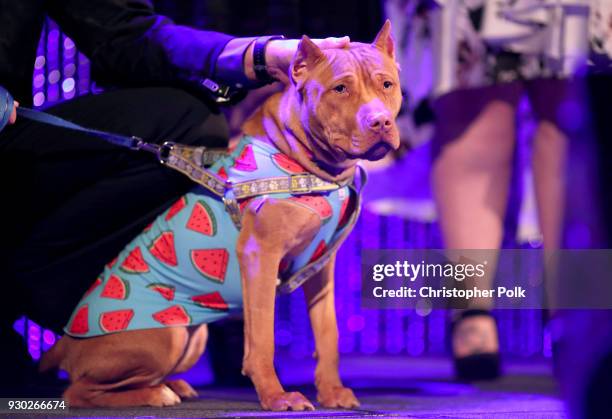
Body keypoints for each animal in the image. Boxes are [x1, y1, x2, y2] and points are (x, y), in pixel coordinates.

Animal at [41, 21, 402, 412]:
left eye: (386, 84)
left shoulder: (321, 267)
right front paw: (276, 396)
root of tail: (65, 341)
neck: (313, 165)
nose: (380, 121)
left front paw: (333, 392)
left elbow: (327, 333)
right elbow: (262, 339)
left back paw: (172, 385)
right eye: (340, 88)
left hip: (191, 338)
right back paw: (155, 394)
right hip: (165, 336)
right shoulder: (260, 256)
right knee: (77, 391)